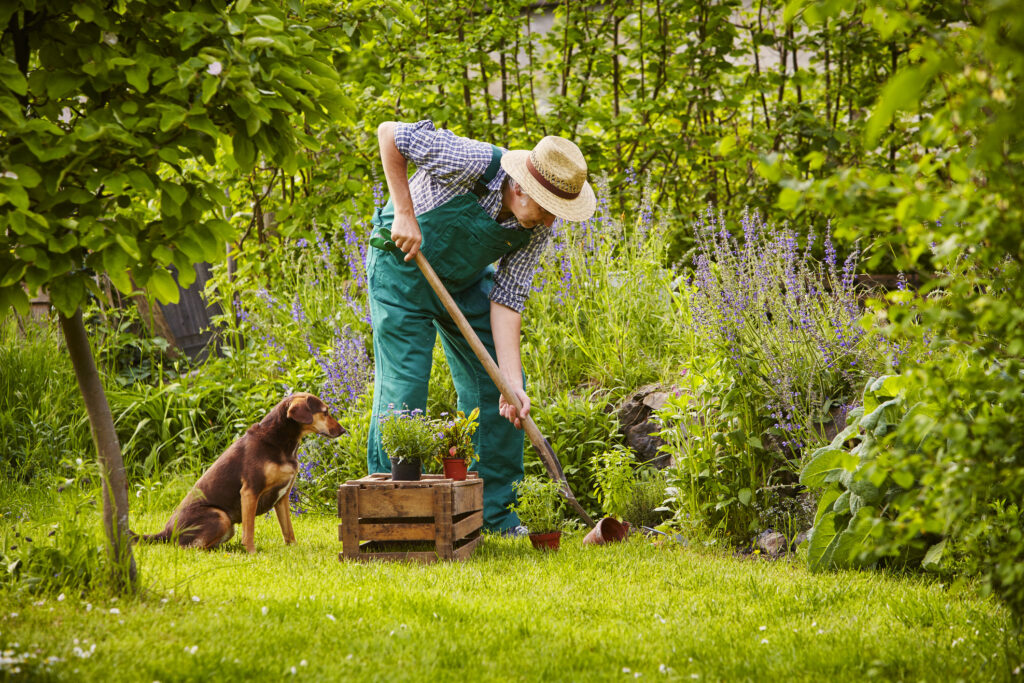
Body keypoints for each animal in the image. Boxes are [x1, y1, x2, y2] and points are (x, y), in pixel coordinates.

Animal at [138, 393, 346, 552]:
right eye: (325, 412)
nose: (343, 430)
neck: (280, 442)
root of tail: (165, 532)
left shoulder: (282, 498)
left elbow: (288, 530)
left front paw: (293, 548)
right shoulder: (249, 492)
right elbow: (249, 530)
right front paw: (252, 552)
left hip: (227, 526)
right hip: (220, 516)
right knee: (190, 548)